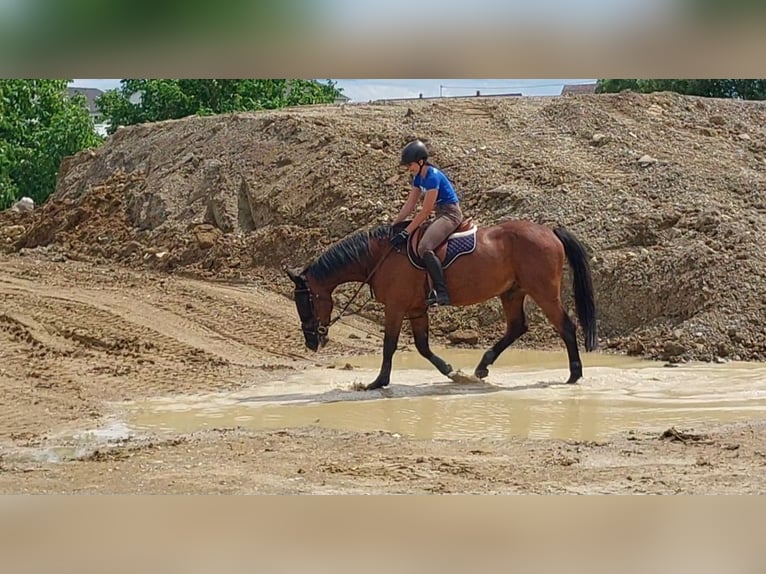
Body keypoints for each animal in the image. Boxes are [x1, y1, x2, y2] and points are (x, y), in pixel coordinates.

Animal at [286, 218, 600, 394]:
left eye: (307, 301)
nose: (311, 342)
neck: (380, 256)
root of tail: (550, 232)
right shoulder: (416, 309)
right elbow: (423, 347)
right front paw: (451, 371)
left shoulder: (396, 308)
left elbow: (389, 345)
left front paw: (378, 382)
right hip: (512, 292)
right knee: (517, 327)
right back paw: (482, 367)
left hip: (543, 292)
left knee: (566, 327)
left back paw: (574, 374)